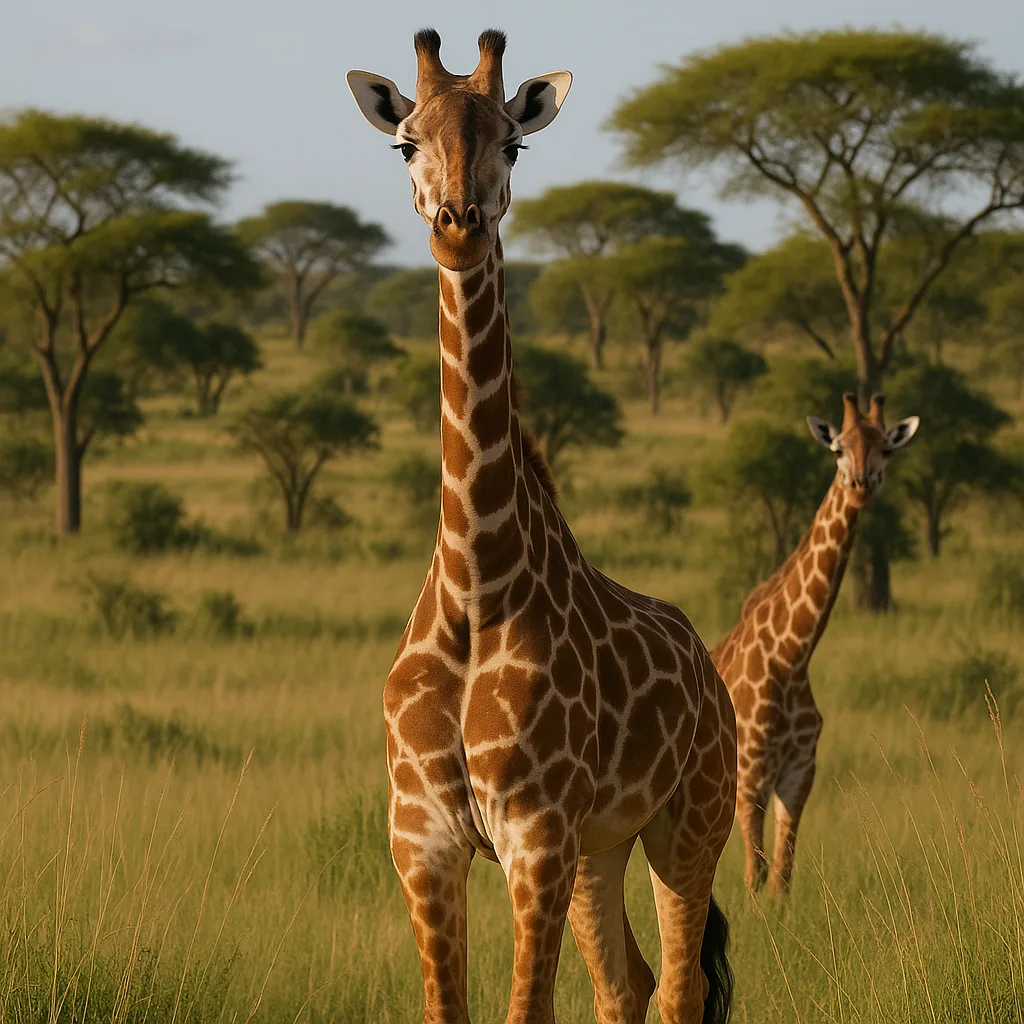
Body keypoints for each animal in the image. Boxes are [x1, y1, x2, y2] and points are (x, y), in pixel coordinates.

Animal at [347, 29, 737, 1024]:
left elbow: (529, 1008)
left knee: (680, 989)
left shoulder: (535, 835)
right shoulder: (424, 840)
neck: (477, 582)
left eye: (514, 145)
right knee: (626, 985)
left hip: (691, 822)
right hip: (604, 846)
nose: (458, 224)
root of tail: (708, 668)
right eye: (404, 144)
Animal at [711, 392, 919, 896]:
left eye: (887, 449)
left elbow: (781, 877)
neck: (791, 658)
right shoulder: (750, 771)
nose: (862, 485)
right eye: (838, 449)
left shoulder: (800, 771)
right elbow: (755, 876)